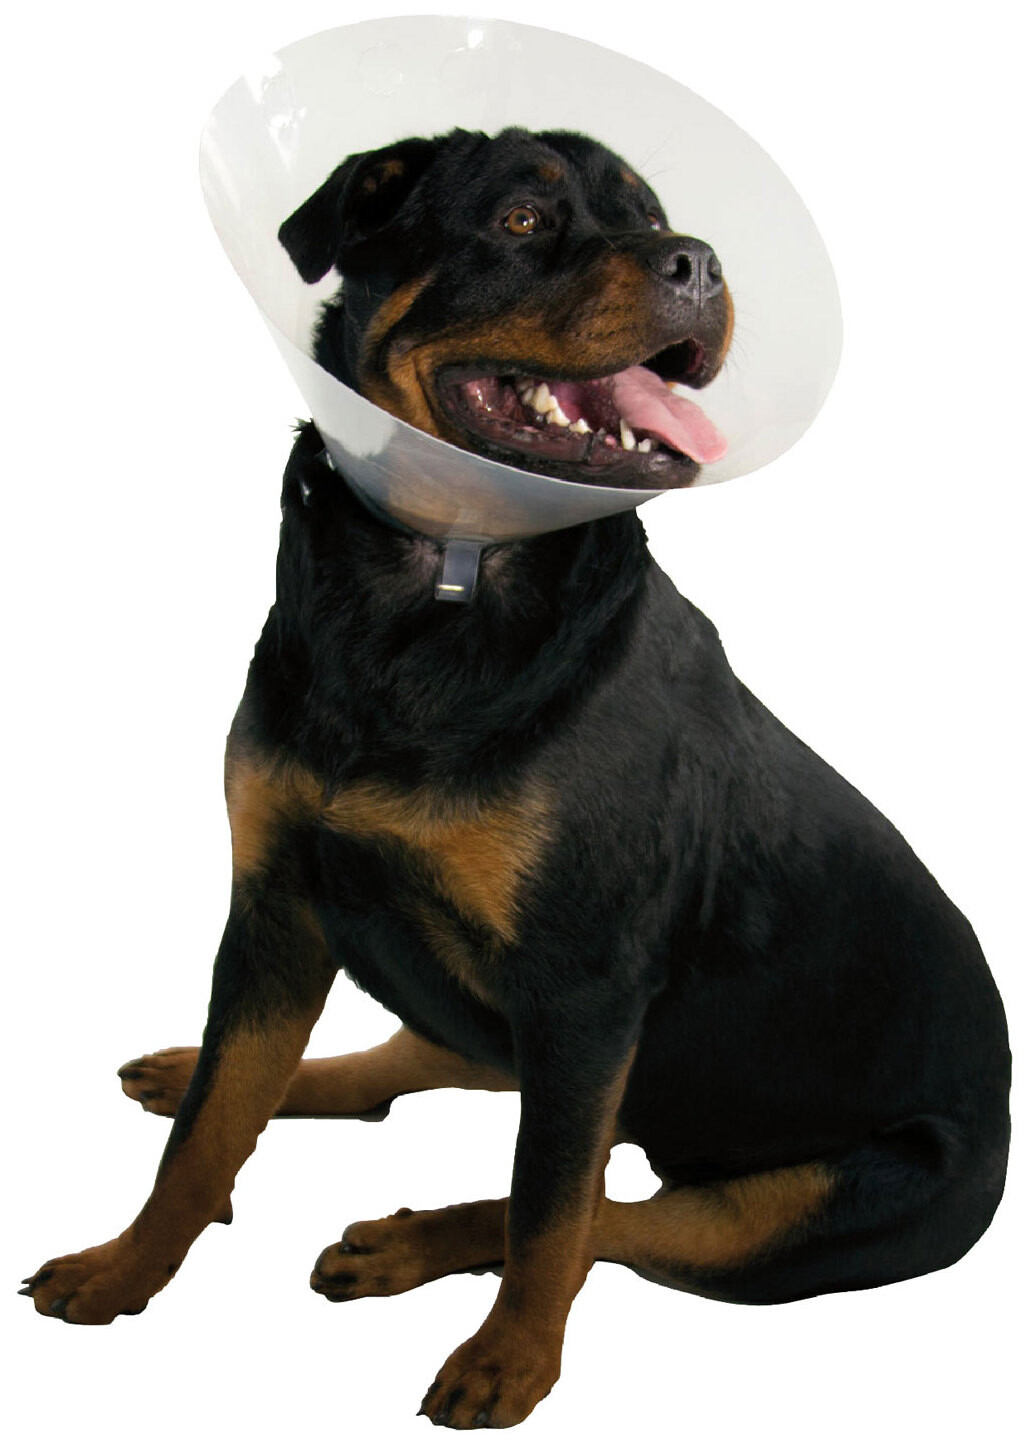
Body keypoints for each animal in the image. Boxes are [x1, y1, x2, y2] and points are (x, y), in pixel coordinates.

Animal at [22, 127, 1010, 1430]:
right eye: (524, 221)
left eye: (652, 214)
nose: (697, 262)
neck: (440, 575)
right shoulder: (277, 899)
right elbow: (211, 1124)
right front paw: (124, 1265)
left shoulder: (584, 988)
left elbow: (551, 1209)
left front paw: (508, 1362)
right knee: (433, 1077)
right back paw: (208, 1075)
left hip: (817, 1198)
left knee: (609, 1211)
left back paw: (413, 1246)